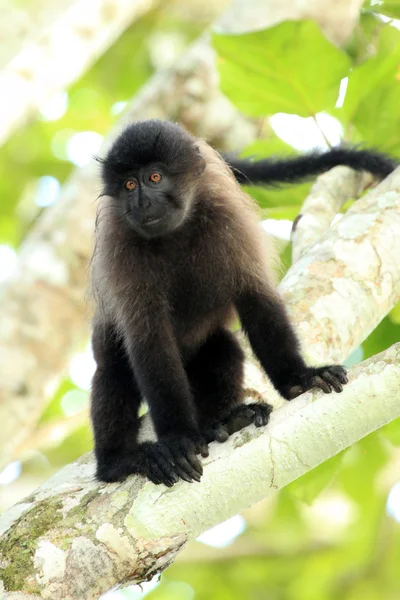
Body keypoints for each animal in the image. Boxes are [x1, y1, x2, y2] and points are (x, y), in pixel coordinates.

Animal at [90, 118, 394, 488]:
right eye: (129, 184)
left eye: (154, 178)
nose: (141, 203)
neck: (175, 234)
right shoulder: (120, 247)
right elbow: (149, 339)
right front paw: (177, 440)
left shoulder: (228, 219)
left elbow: (255, 297)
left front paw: (300, 378)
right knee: (114, 372)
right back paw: (120, 461)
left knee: (222, 350)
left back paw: (221, 422)